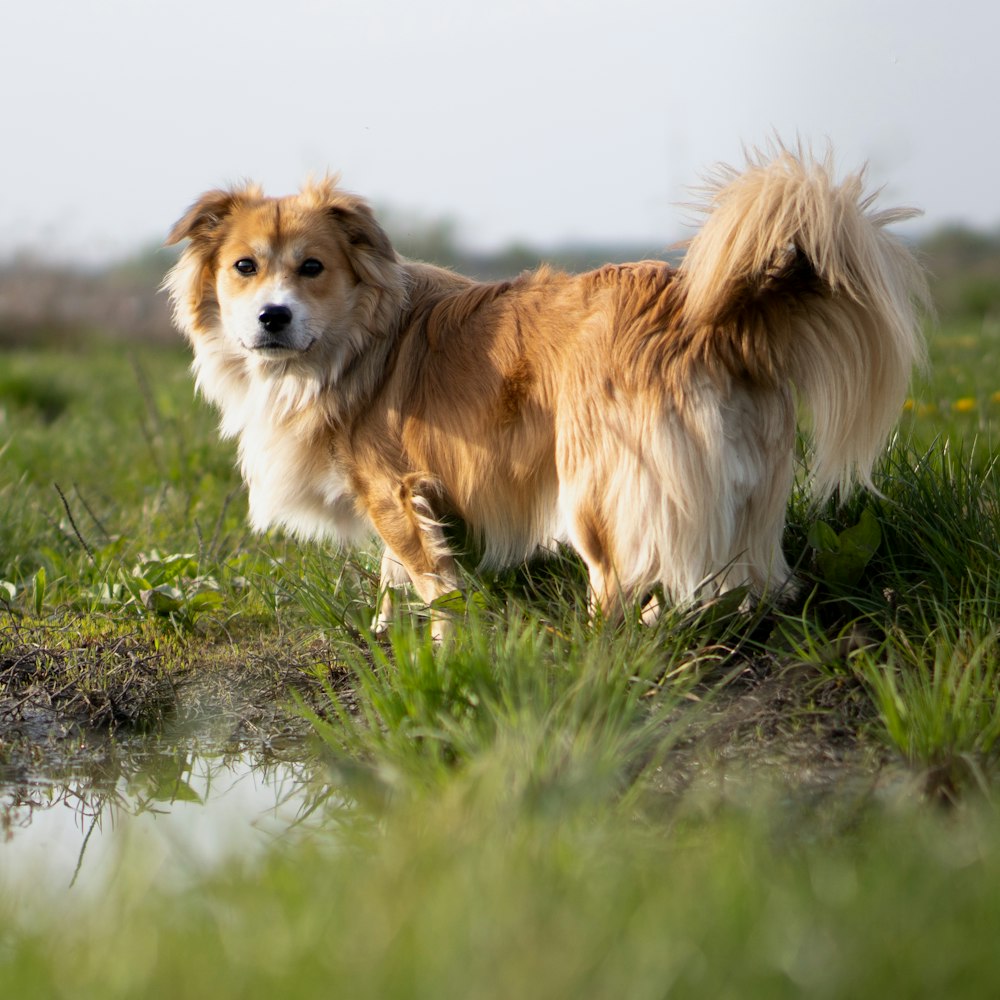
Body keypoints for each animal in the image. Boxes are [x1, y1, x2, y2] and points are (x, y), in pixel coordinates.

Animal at [166, 145, 928, 636]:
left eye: (313, 268)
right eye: (244, 267)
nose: (272, 317)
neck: (355, 340)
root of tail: (711, 318)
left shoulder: (393, 489)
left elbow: (431, 583)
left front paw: (442, 654)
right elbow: (392, 574)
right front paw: (384, 633)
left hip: (595, 483)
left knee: (617, 584)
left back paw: (594, 653)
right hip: (751, 490)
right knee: (745, 584)